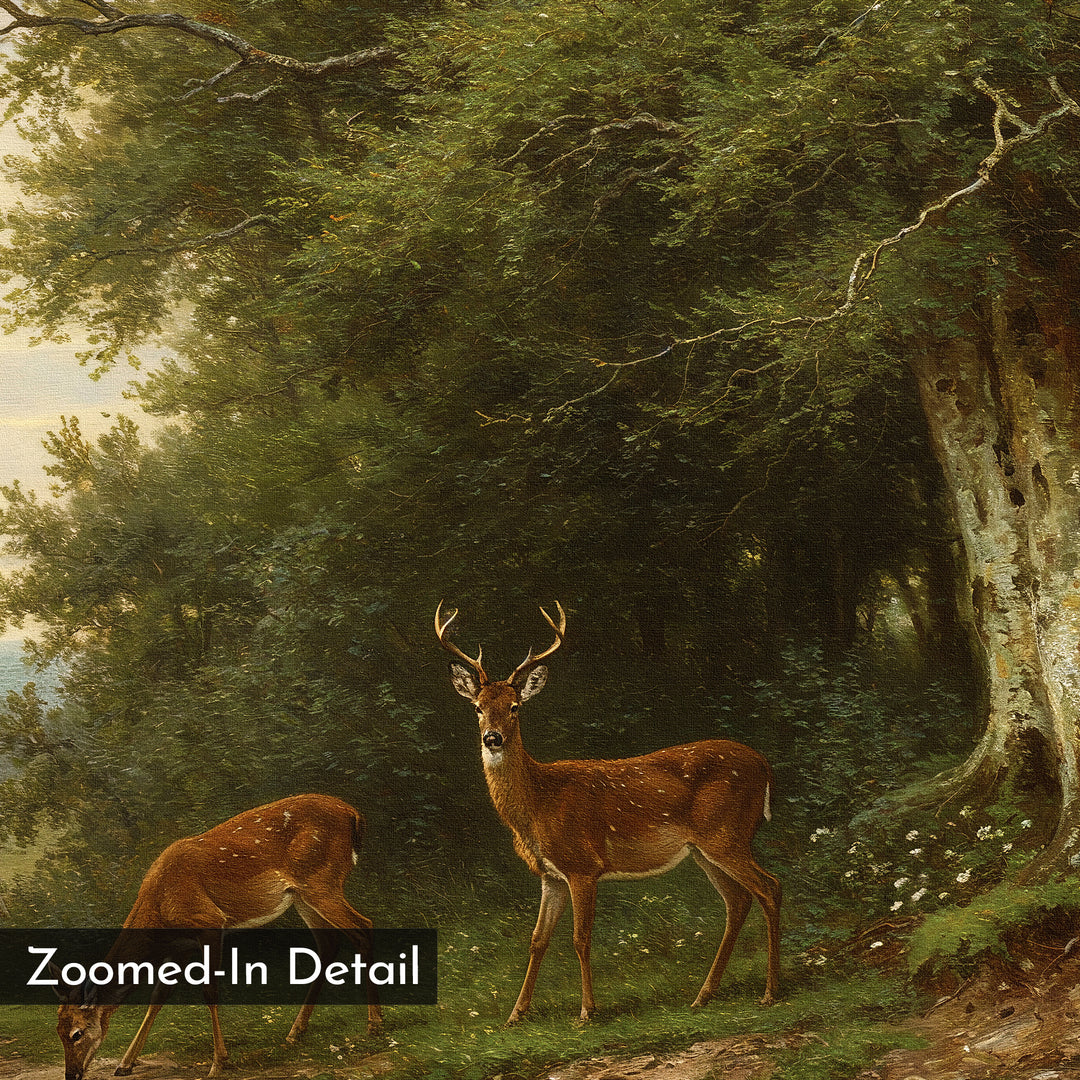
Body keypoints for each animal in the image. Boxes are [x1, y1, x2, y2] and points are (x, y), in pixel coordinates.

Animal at [55, 793, 382, 1080]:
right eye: (58, 1031)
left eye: (76, 1034)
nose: (71, 1074)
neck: (159, 908)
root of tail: (354, 815)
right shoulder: (181, 945)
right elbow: (158, 996)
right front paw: (124, 1064)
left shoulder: (210, 921)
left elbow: (209, 991)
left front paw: (218, 1063)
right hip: (302, 894)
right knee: (329, 944)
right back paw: (295, 1032)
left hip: (321, 881)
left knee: (363, 927)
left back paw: (375, 1025)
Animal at [436, 601, 781, 1024]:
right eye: (478, 707)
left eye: (515, 707)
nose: (492, 738)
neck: (538, 804)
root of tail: (765, 765)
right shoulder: (550, 875)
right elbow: (537, 940)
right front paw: (516, 1014)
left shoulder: (583, 865)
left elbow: (580, 938)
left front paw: (587, 1010)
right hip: (704, 848)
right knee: (738, 901)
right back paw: (703, 996)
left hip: (727, 834)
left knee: (770, 887)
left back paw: (770, 991)